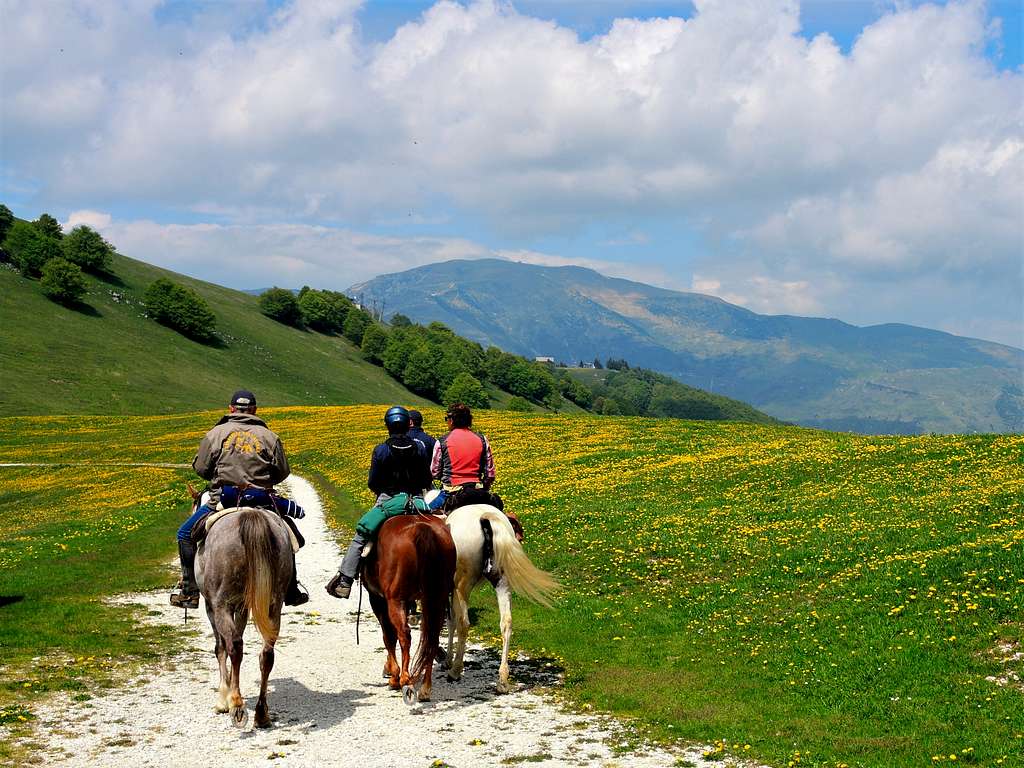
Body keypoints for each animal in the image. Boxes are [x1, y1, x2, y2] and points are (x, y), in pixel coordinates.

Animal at [195, 507, 292, 729]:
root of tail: (250, 515)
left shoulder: (212, 606)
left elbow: (220, 647)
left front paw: (223, 698)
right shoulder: (241, 607)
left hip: (221, 605)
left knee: (234, 646)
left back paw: (237, 705)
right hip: (274, 606)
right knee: (267, 653)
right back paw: (261, 714)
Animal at [360, 514, 456, 708]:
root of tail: (420, 529)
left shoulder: (378, 599)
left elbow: (388, 636)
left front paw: (393, 675)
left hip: (395, 600)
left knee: (404, 634)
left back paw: (405, 680)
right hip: (436, 598)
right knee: (431, 637)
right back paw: (425, 689)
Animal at [434, 501, 557, 696]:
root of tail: (485, 516)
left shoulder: (447, 590)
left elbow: (450, 621)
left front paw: (447, 659)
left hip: (462, 586)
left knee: (463, 623)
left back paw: (455, 671)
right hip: (502, 582)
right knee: (506, 622)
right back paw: (503, 680)